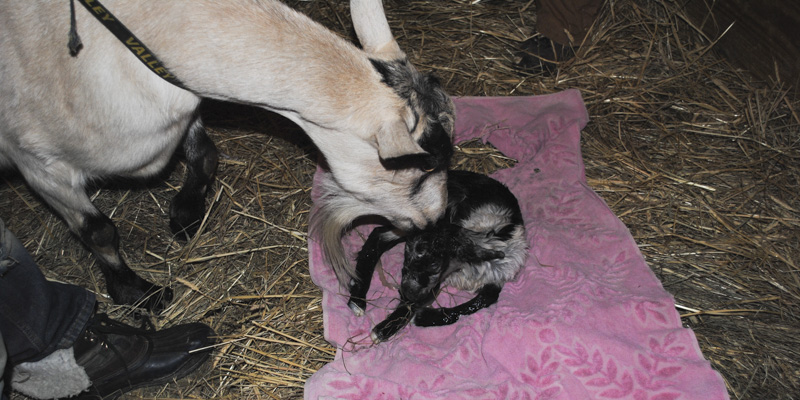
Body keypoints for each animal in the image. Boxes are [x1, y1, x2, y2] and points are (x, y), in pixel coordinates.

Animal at [0, 0, 453, 312]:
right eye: (416, 172)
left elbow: (205, 154)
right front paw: (138, 293)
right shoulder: (38, 162)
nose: (435, 220)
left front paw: (185, 217)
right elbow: (98, 230)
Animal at [345, 170, 528, 342]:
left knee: (379, 236)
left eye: (436, 266)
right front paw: (385, 329)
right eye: (407, 254)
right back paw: (358, 299)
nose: (406, 292)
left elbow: (485, 298)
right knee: (379, 236)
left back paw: (357, 298)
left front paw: (424, 317)